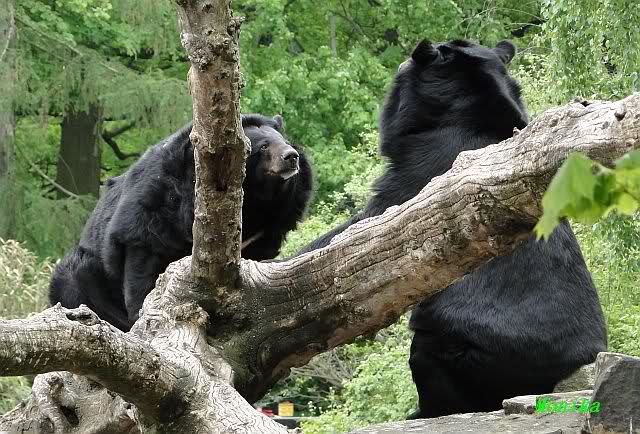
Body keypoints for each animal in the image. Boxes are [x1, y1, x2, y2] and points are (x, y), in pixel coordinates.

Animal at [50, 114, 313, 331]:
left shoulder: (270, 224)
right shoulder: (157, 204)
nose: (291, 157)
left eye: (286, 142)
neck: (255, 199)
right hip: (83, 274)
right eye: (263, 146)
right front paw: (141, 313)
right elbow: (141, 256)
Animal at [296, 39, 607, 418]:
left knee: (431, 358)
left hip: (478, 350)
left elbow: (369, 224)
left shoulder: (423, 168)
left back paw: (424, 411)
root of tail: (578, 365)